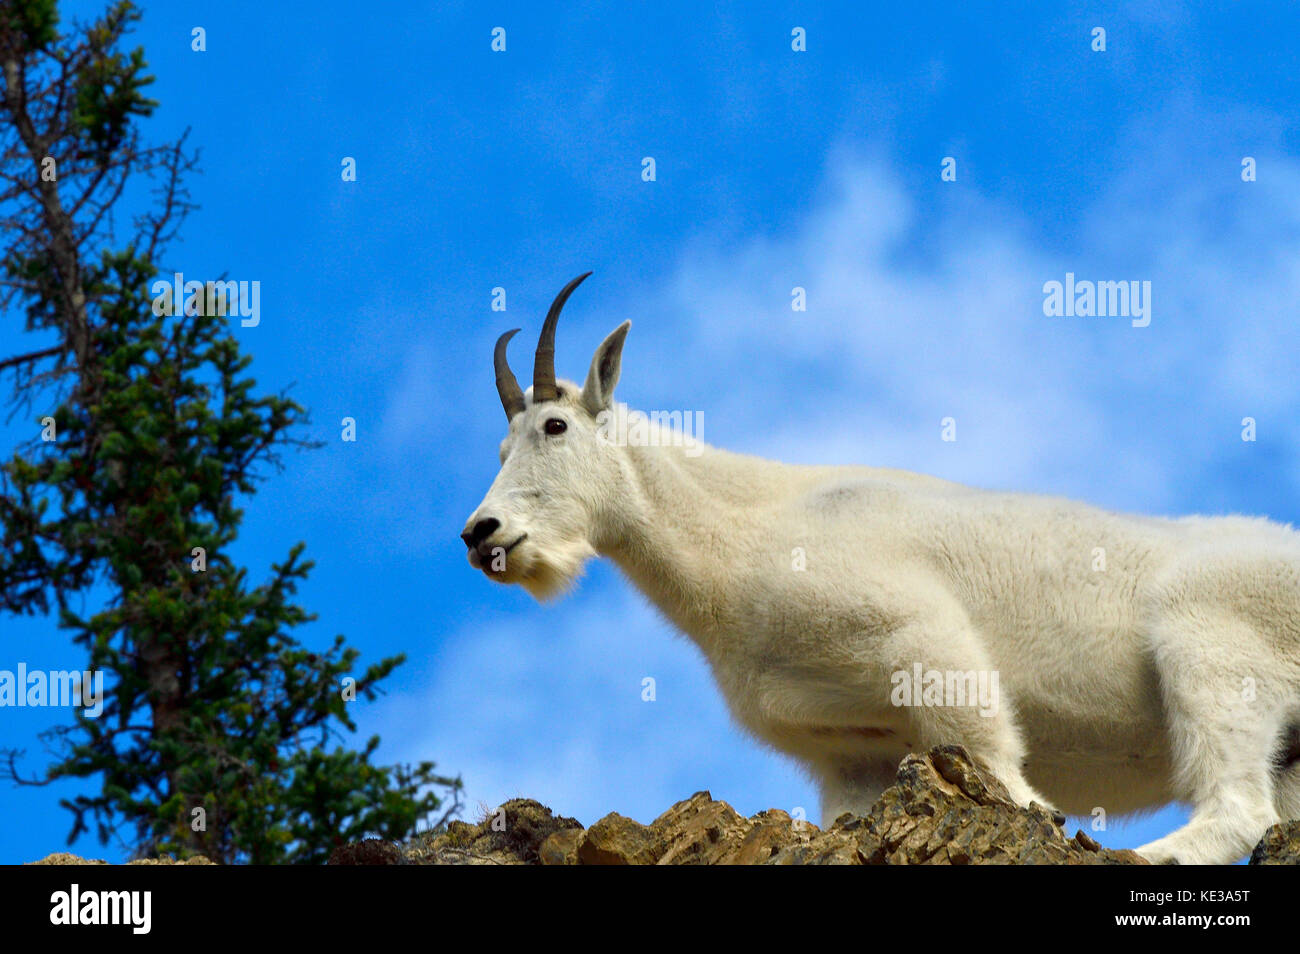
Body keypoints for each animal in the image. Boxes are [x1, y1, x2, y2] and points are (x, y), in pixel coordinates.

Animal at [462, 274, 1300, 868]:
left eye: (555, 425)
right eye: (500, 449)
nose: (482, 534)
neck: (744, 536)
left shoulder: (922, 640)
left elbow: (1007, 771)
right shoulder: (850, 749)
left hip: (1210, 641)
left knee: (1237, 807)